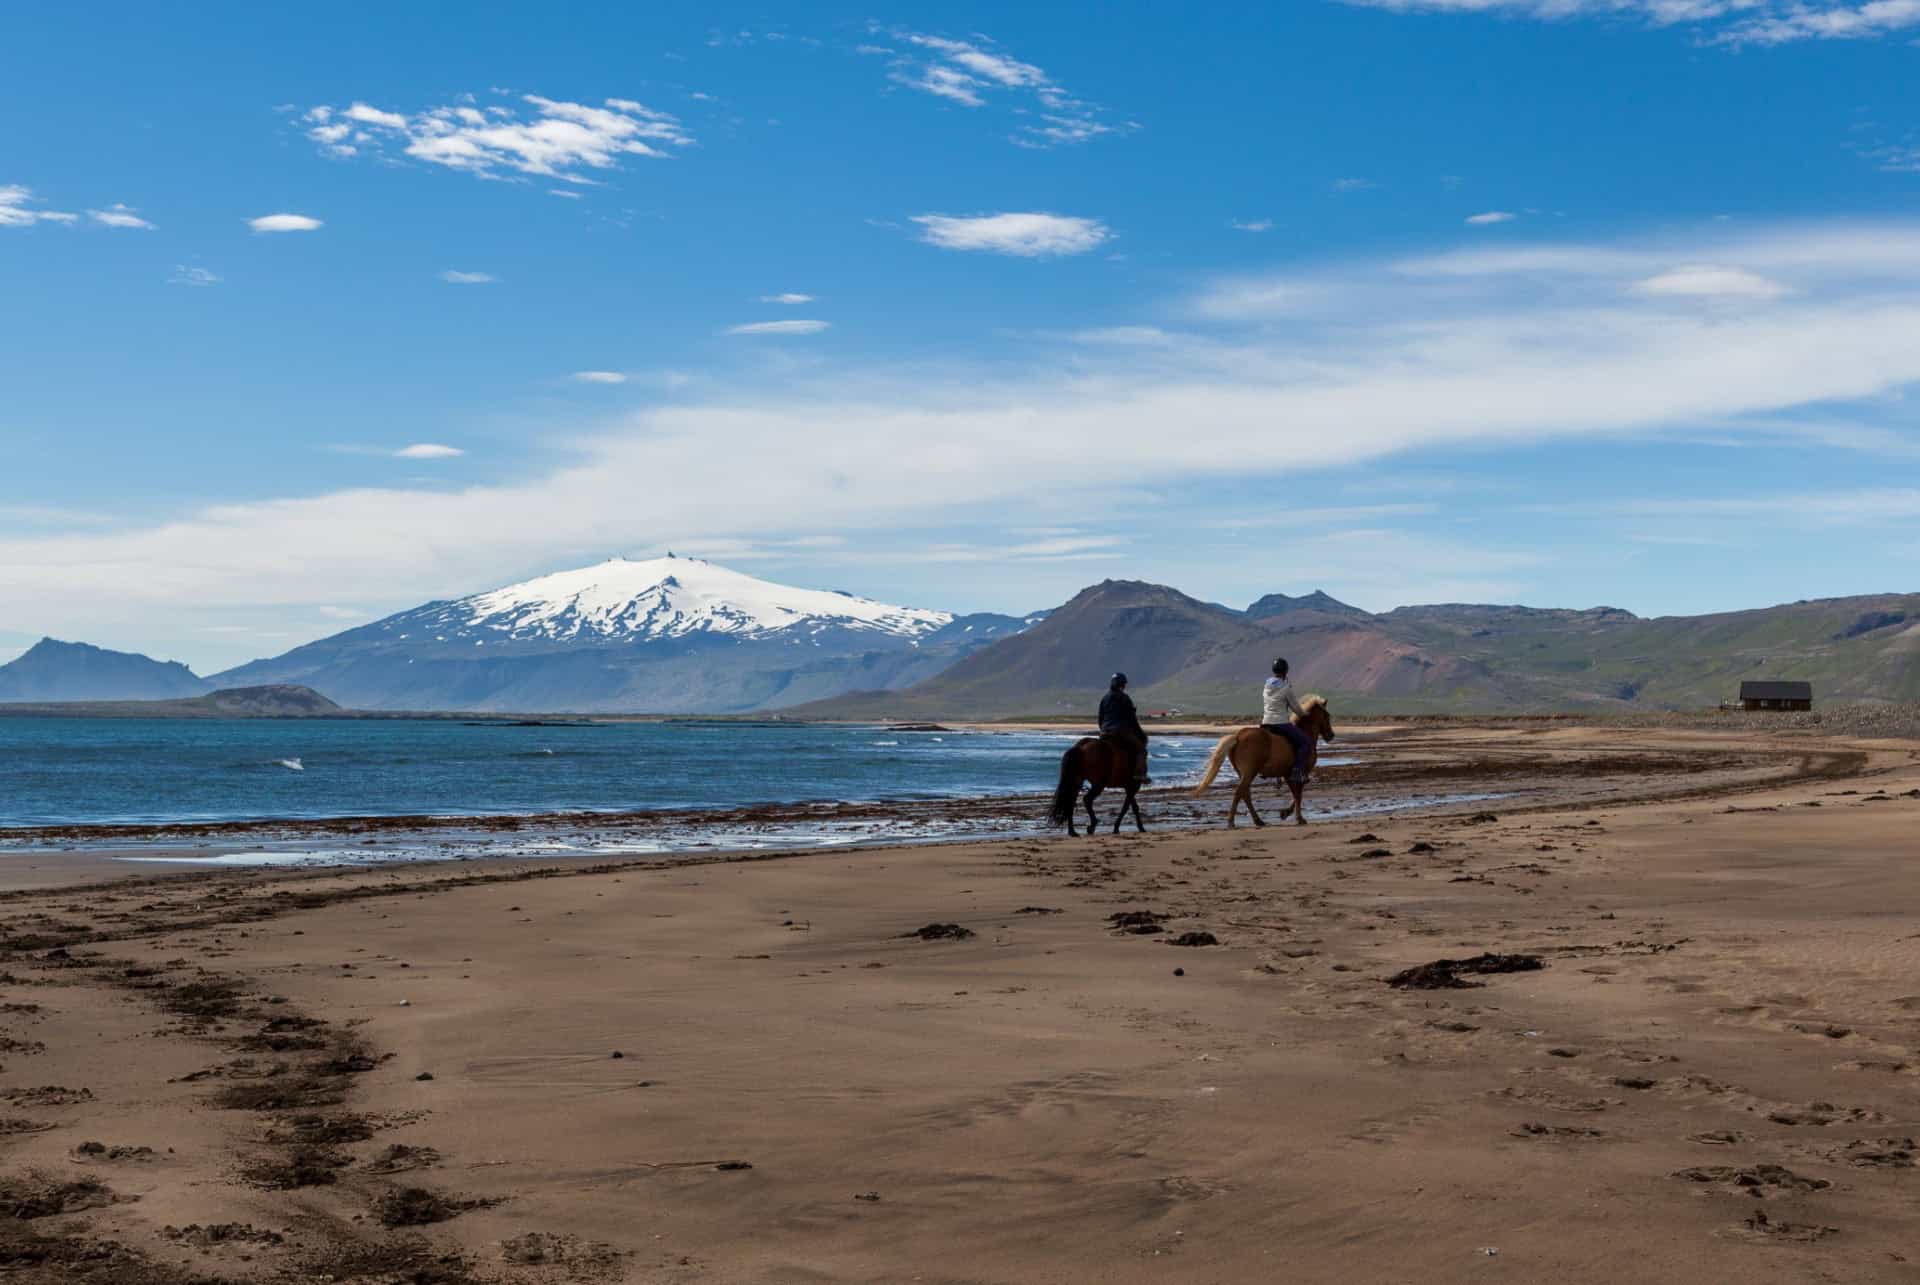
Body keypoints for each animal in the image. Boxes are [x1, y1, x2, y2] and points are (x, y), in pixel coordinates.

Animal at [1182, 695, 1336, 825]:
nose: (1331, 735)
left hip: (1243, 772)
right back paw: (1232, 821)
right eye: (1327, 715)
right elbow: (1298, 795)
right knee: (1240, 792)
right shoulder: (1300, 773)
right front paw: (1297, 817)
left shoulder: (1288, 774)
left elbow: (1295, 795)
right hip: (1250, 771)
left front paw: (1286, 813)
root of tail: (1238, 736)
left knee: (1245, 793)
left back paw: (1257, 820)